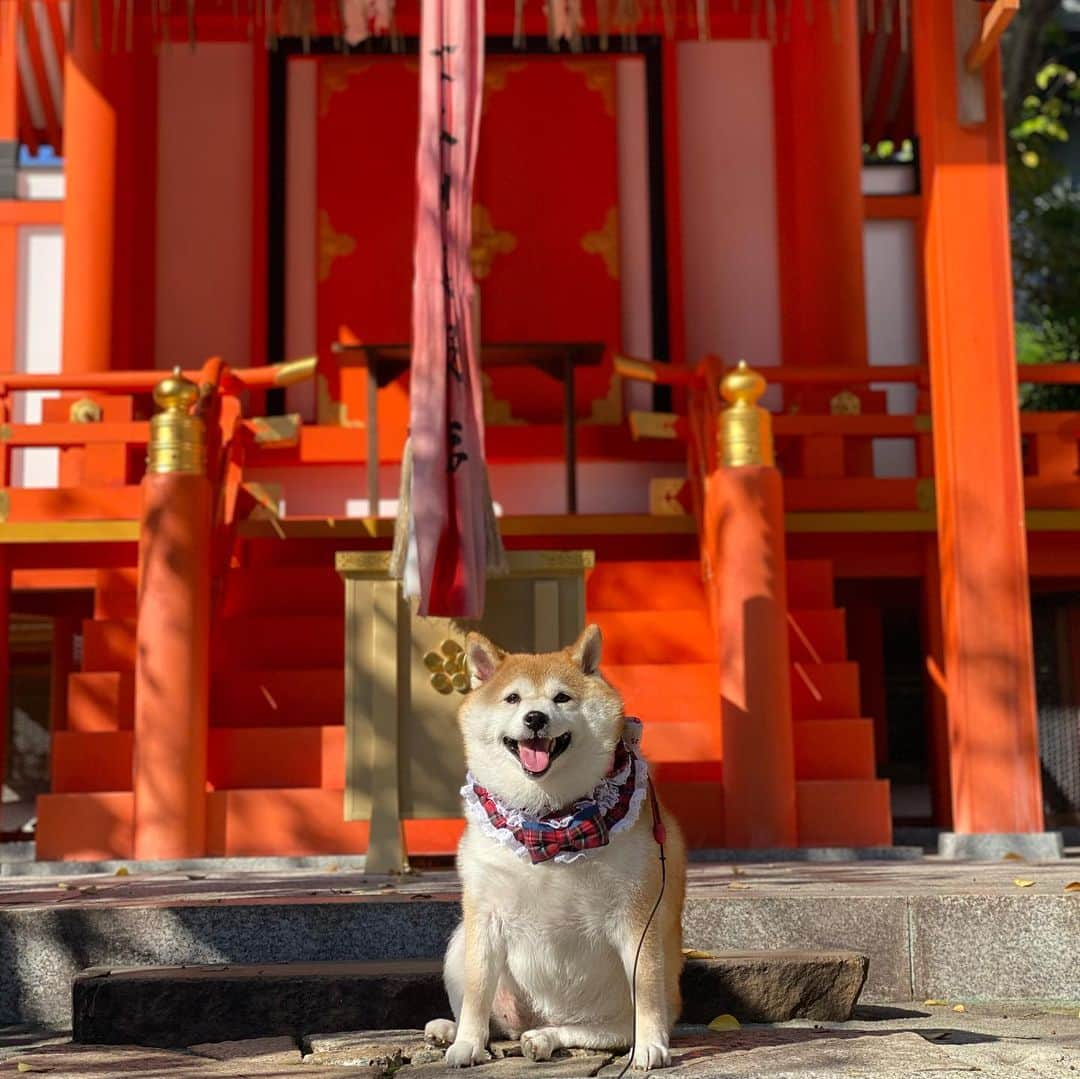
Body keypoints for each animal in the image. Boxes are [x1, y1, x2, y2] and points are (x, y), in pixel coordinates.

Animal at [421, 626, 682, 1071]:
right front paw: (468, 1044)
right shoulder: (485, 913)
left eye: (561, 697)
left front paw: (651, 1046)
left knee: (599, 1032)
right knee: (490, 1017)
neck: (548, 817)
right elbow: (477, 992)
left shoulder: (636, 914)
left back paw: (545, 1038)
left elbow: (645, 988)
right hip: (458, 943)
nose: (535, 718)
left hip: (620, 1007)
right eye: (513, 698)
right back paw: (452, 1031)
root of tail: (541, 1015)